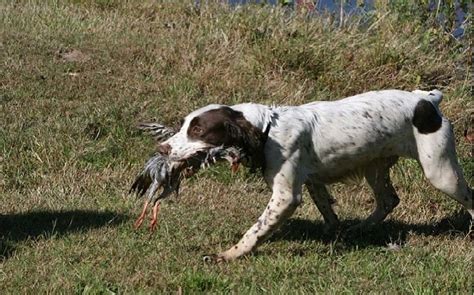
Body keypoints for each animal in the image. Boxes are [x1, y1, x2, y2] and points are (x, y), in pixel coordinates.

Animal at [155, 89, 470, 262]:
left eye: (198, 130)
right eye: (183, 125)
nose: (162, 148)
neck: (267, 129)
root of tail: (426, 100)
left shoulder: (286, 196)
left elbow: (255, 230)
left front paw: (228, 254)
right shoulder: (312, 180)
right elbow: (328, 212)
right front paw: (336, 235)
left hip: (440, 171)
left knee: (469, 198)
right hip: (375, 166)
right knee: (388, 200)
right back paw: (360, 228)